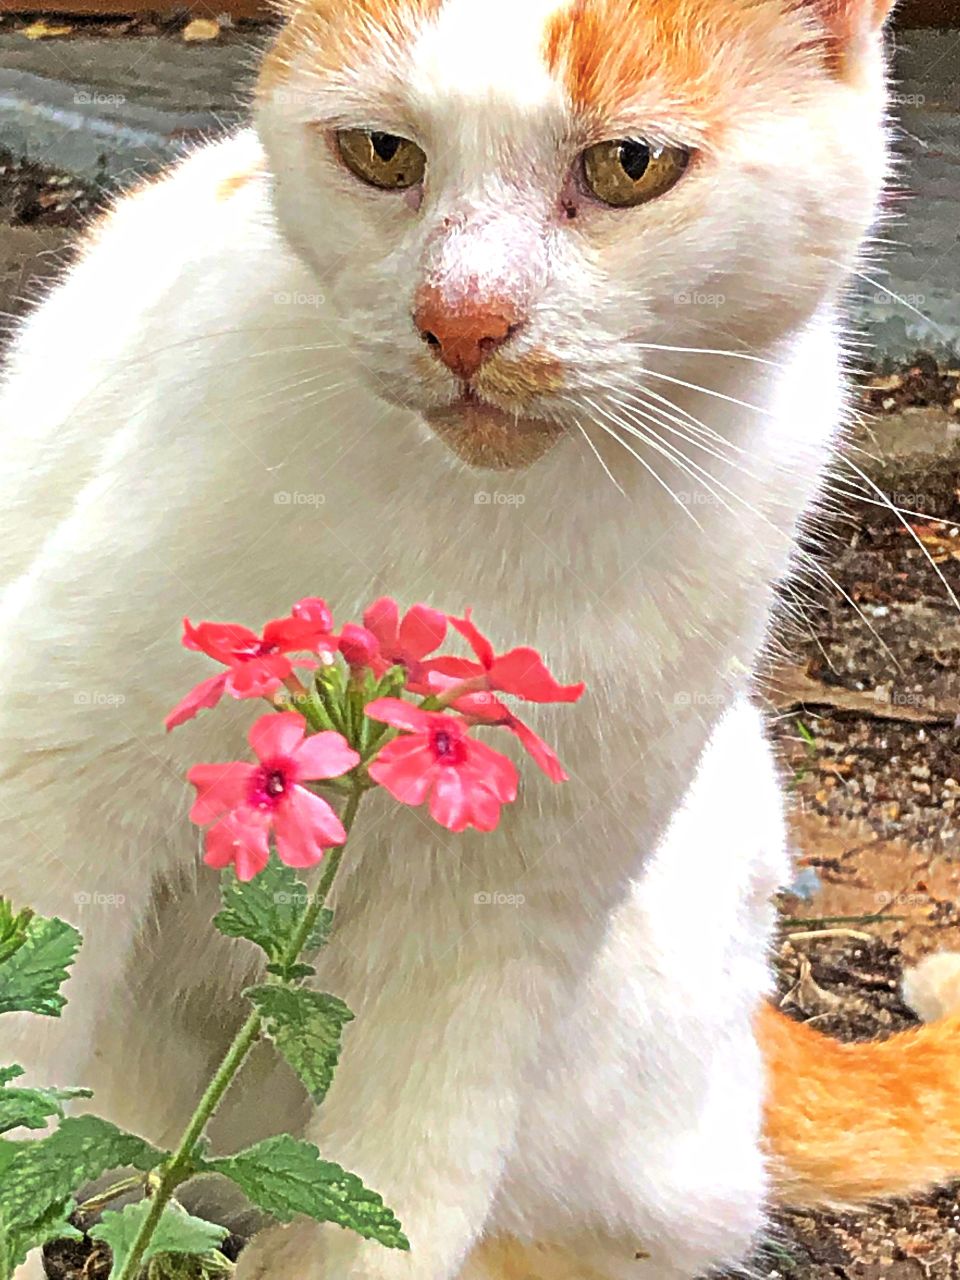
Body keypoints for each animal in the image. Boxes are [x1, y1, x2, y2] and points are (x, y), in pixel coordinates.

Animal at [1, 0, 960, 1274]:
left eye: (629, 165)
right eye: (382, 154)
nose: (461, 322)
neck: (483, 521)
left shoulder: (498, 937)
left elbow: (394, 1206)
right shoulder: (56, 785)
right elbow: (19, 1100)